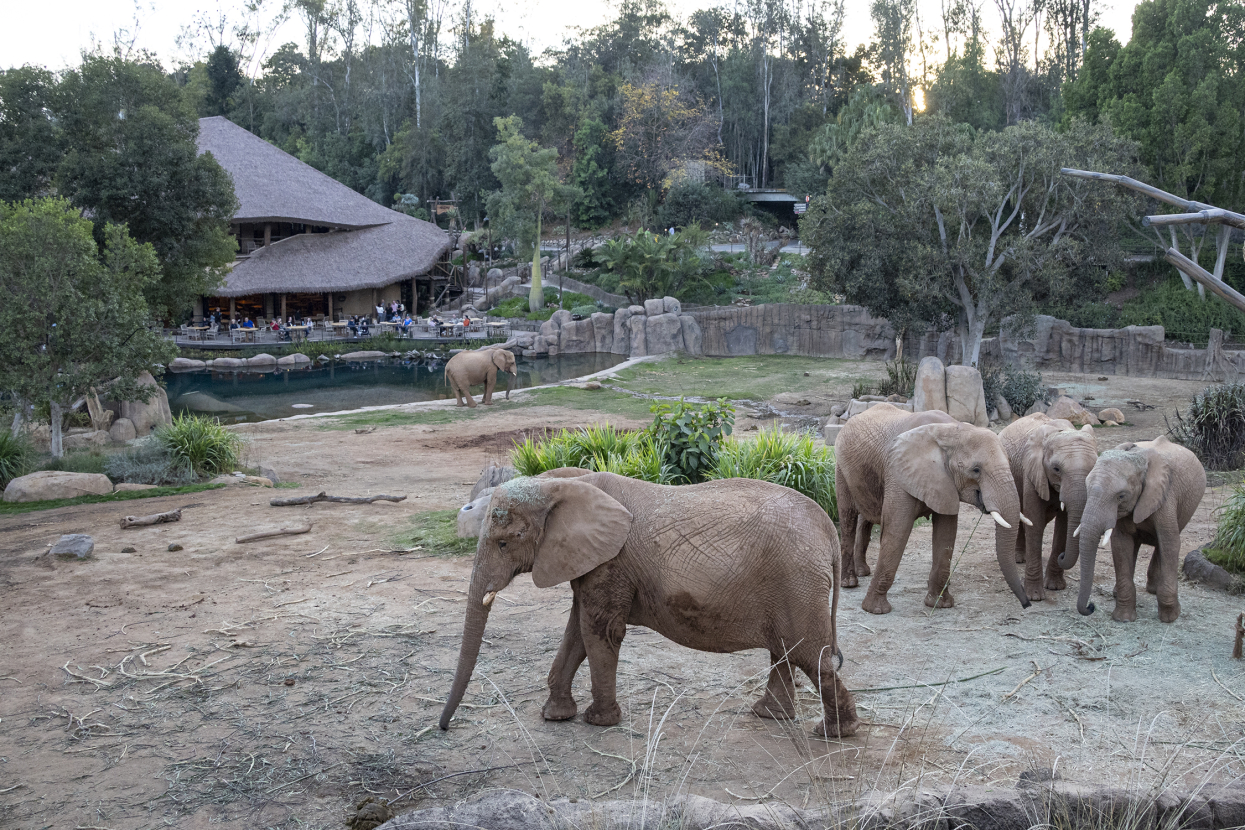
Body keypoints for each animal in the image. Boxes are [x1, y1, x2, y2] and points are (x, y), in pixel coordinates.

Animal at [439, 471, 859, 738]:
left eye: (503, 542)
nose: (443, 727)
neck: (561, 484)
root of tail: (828, 529)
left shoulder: (612, 562)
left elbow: (598, 631)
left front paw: (598, 722)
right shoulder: (591, 561)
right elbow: (576, 631)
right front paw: (555, 716)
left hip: (796, 579)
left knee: (808, 653)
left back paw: (835, 733)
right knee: (786, 648)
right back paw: (770, 715)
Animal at [834, 403, 1031, 615]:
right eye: (976, 470)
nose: (1027, 604)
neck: (951, 430)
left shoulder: (946, 482)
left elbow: (946, 534)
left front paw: (940, 604)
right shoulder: (899, 472)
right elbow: (897, 531)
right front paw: (876, 610)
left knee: (867, 517)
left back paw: (863, 572)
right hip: (841, 468)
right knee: (848, 518)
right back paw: (850, 583)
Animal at [999, 414, 1098, 602]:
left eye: (1094, 469)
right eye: (1056, 469)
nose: (1063, 556)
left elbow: (1064, 526)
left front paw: (1055, 587)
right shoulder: (1032, 471)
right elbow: (1035, 522)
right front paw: (1034, 596)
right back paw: (1019, 559)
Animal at [1060, 436, 1205, 623]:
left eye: (1121, 496)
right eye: (1087, 488)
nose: (1091, 606)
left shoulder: (1166, 497)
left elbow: (1170, 542)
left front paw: (1170, 617)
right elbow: (1121, 545)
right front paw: (1123, 618)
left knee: (1163, 543)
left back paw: (1153, 590)